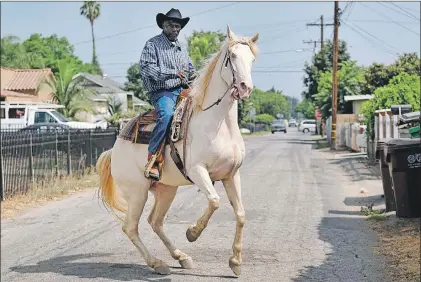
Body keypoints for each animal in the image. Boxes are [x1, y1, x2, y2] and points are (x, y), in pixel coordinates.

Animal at [96, 26, 258, 276]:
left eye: (251, 58)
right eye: (231, 57)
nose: (244, 87)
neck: (219, 124)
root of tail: (114, 150)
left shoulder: (231, 175)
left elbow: (240, 214)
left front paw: (236, 262)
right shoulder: (198, 171)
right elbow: (214, 201)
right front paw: (192, 233)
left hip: (166, 190)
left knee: (155, 221)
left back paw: (181, 257)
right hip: (137, 191)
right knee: (131, 227)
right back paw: (158, 263)